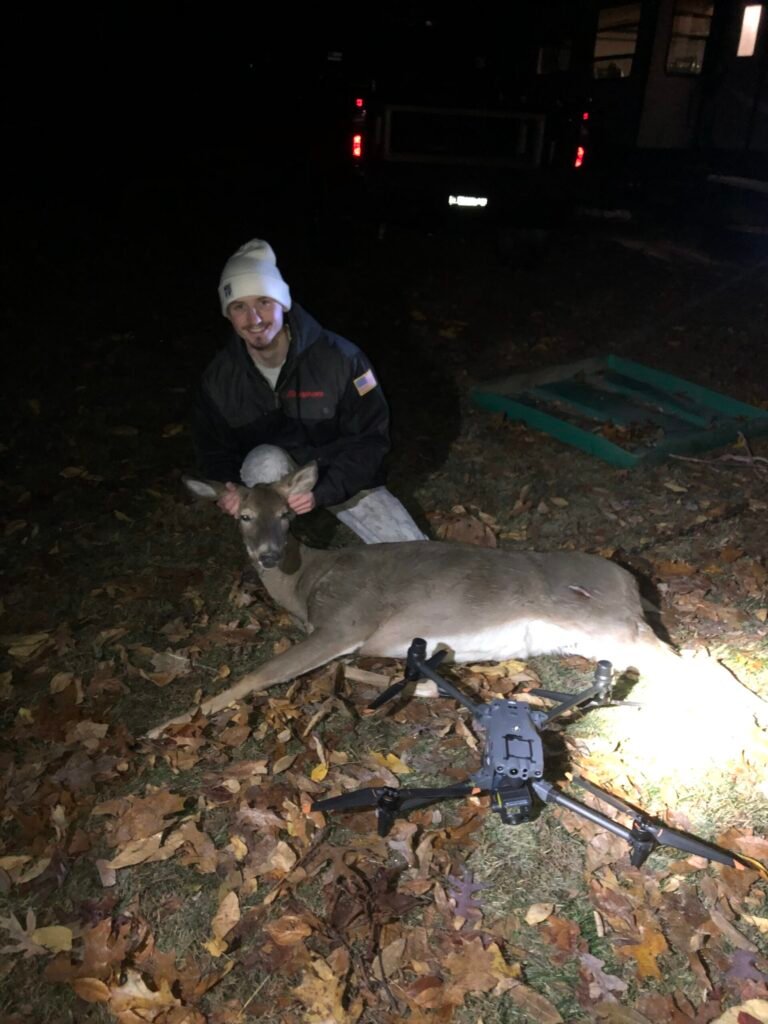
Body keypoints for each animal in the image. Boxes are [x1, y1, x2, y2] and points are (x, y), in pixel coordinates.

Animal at [146, 463, 767, 747]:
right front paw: (423, 687)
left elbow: (258, 676)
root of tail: (631, 583)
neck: (307, 582)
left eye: (286, 515)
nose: (270, 554)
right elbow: (363, 670)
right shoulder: (359, 639)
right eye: (244, 517)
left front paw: (167, 726)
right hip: (604, 636)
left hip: (606, 621)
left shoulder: (346, 620)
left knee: (698, 662)